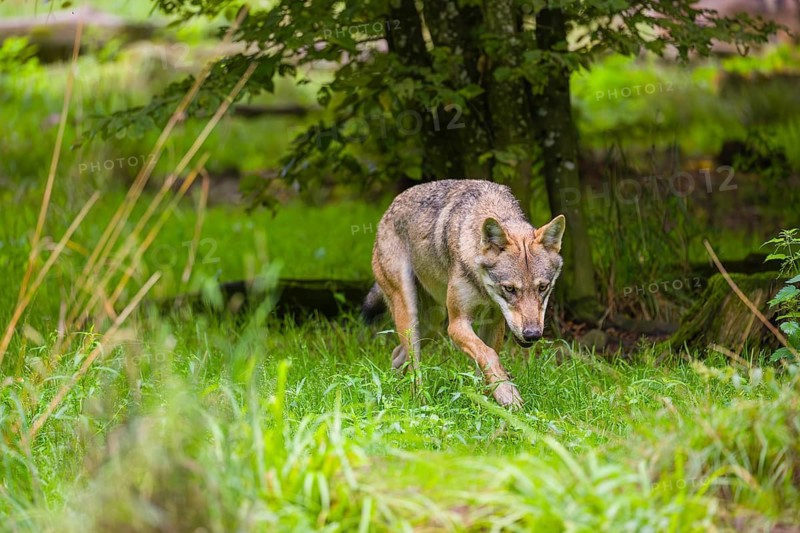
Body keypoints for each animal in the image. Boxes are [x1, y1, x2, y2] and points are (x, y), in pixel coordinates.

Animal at [363, 179, 565, 407]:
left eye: (542, 287)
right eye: (510, 289)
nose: (532, 334)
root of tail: (388, 210)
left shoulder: (494, 324)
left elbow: (485, 361)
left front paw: (487, 401)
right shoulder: (457, 324)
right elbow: (488, 355)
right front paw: (508, 394)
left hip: (432, 324)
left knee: (397, 353)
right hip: (411, 315)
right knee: (413, 364)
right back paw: (418, 401)